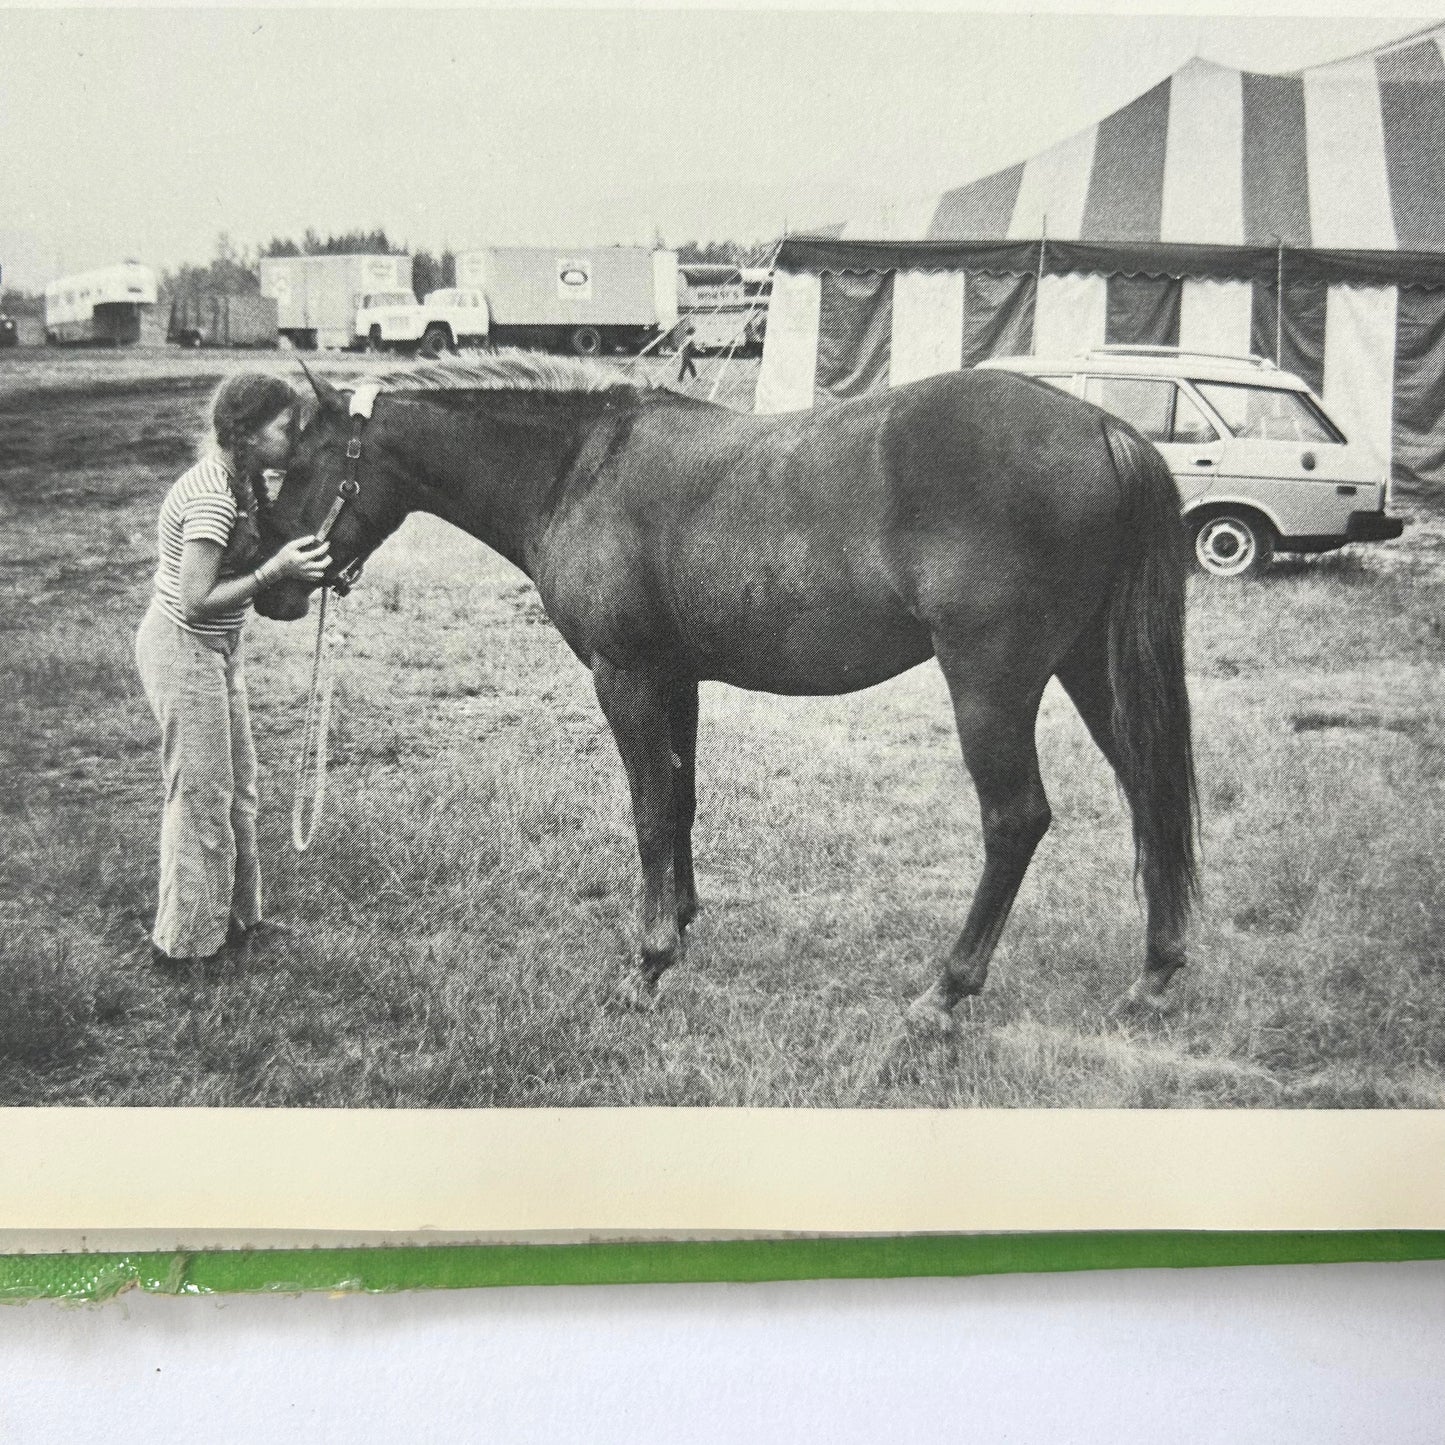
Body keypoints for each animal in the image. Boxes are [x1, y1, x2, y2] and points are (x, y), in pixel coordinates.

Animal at [257, 354, 1196, 1023]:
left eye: (293, 467)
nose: (271, 590)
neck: (576, 468)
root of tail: (1102, 425)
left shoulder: (626, 678)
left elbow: (646, 811)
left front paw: (647, 963)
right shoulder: (675, 680)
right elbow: (680, 800)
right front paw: (681, 921)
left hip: (991, 683)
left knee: (1014, 820)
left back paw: (946, 989)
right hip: (1089, 668)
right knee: (1148, 787)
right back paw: (1154, 973)